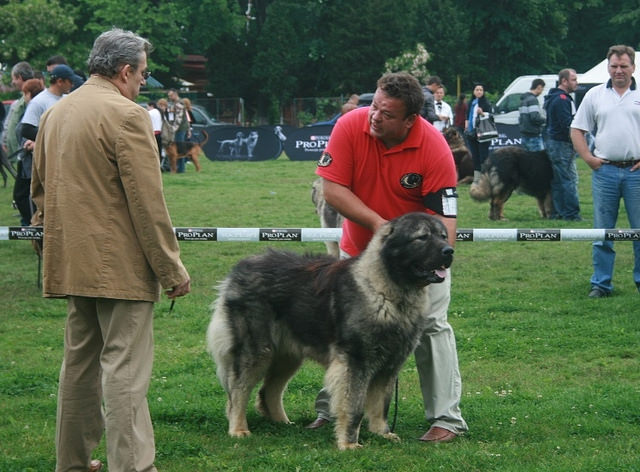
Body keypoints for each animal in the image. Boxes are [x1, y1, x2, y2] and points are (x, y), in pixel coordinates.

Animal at [208, 211, 452, 450]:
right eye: (422, 237)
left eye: (443, 236)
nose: (449, 251)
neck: (388, 291)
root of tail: (238, 271)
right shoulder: (356, 362)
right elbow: (354, 406)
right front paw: (349, 443)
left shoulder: (390, 365)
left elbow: (380, 404)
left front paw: (382, 433)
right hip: (257, 351)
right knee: (237, 391)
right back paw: (239, 429)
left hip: (287, 356)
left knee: (268, 390)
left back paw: (283, 423)